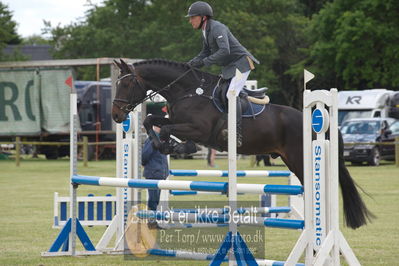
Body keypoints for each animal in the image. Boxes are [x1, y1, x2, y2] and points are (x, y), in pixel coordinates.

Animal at [111, 58, 376, 229]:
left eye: (127, 84)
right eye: (117, 84)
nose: (116, 115)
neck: (187, 91)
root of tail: (315, 119)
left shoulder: (198, 129)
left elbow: (166, 130)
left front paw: (174, 147)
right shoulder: (174, 119)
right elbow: (150, 120)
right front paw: (167, 146)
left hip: (300, 158)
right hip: (292, 160)